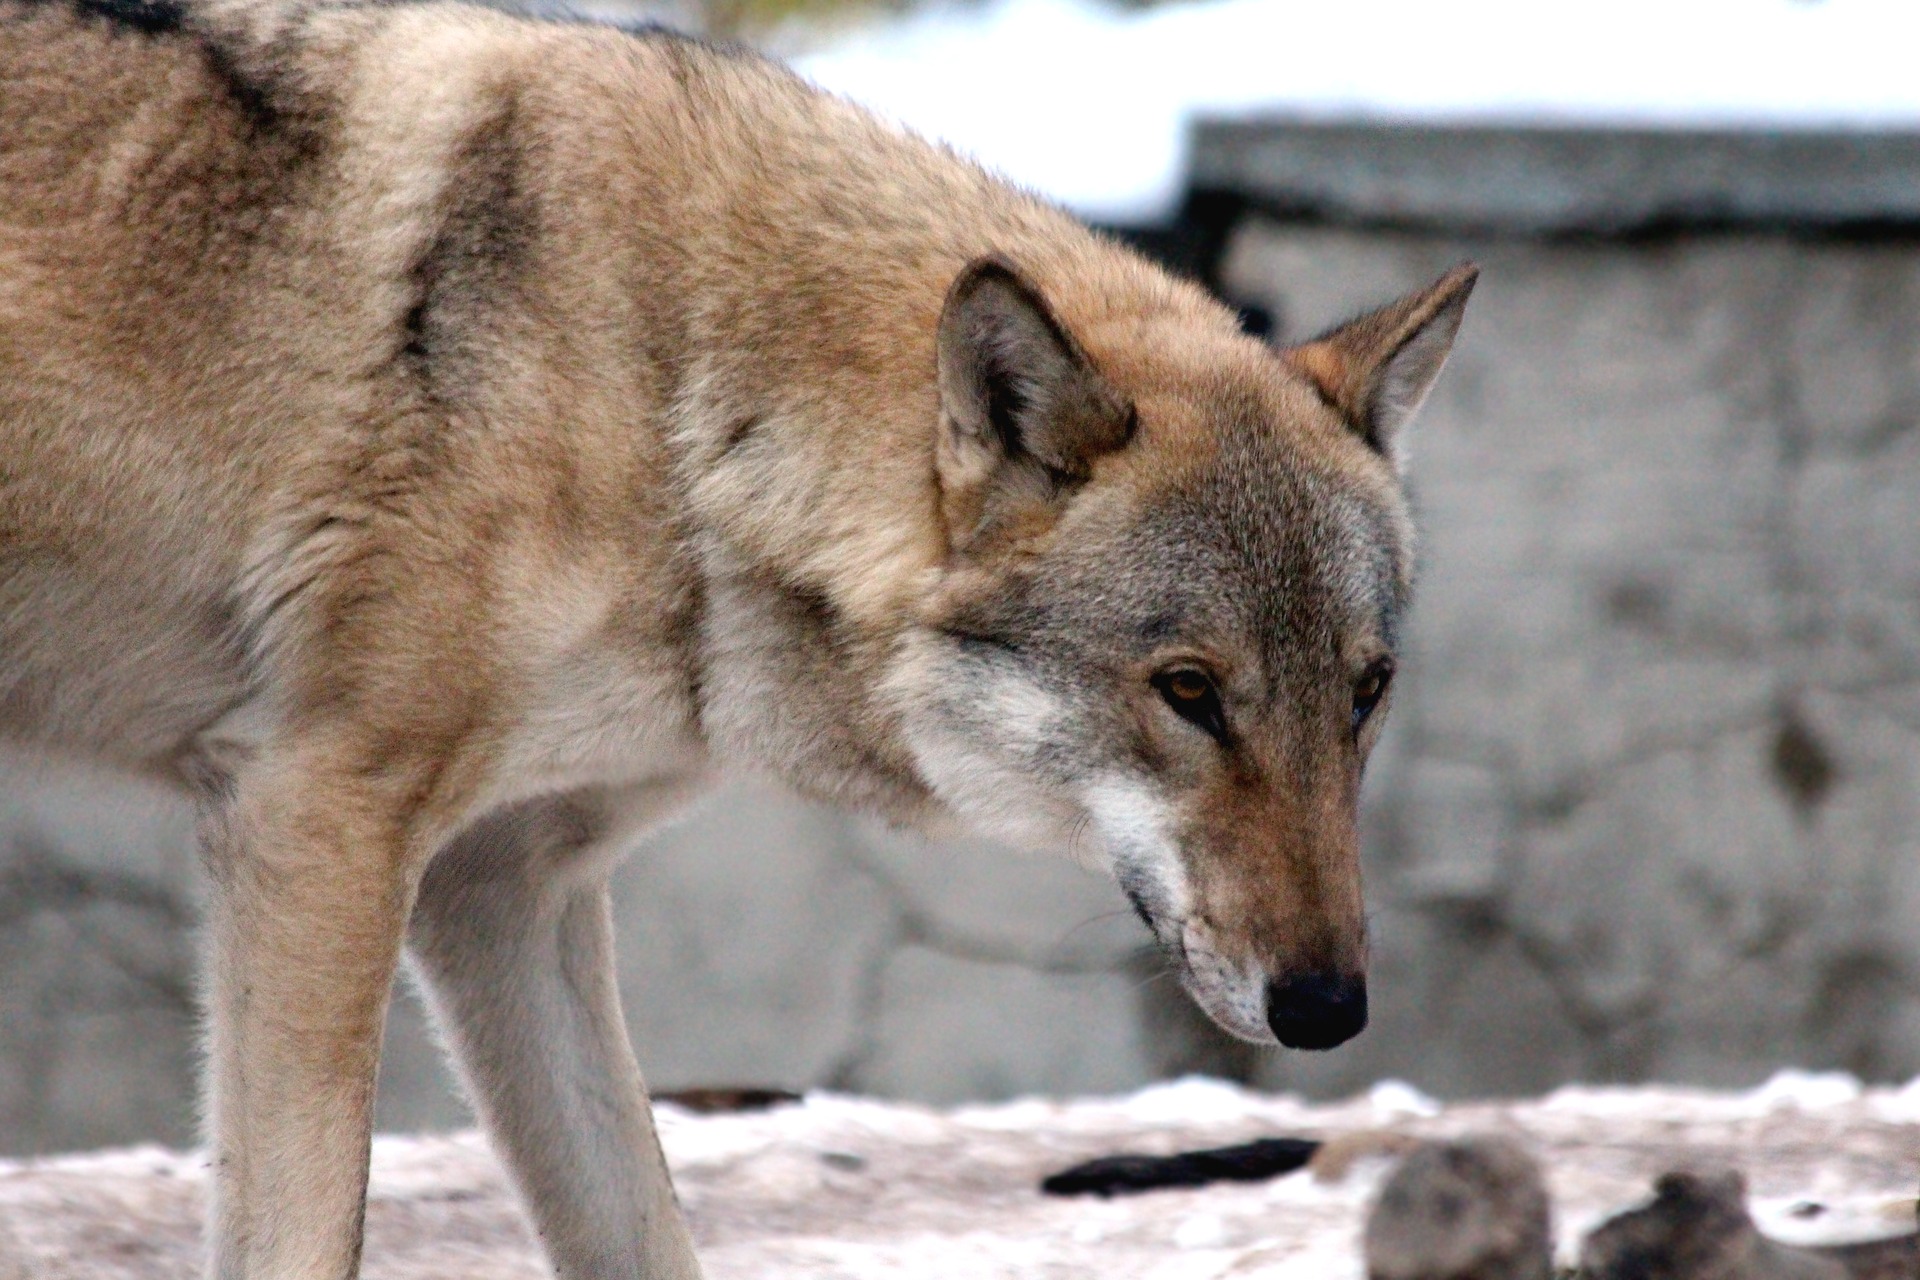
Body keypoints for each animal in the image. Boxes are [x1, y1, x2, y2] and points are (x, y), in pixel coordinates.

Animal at [0, 0, 1466, 1274]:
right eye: (1190, 691)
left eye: (1366, 692)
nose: (1330, 1010)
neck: (672, 390)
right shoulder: (317, 823)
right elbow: (310, 1235)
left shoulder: (499, 888)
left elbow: (644, 1227)